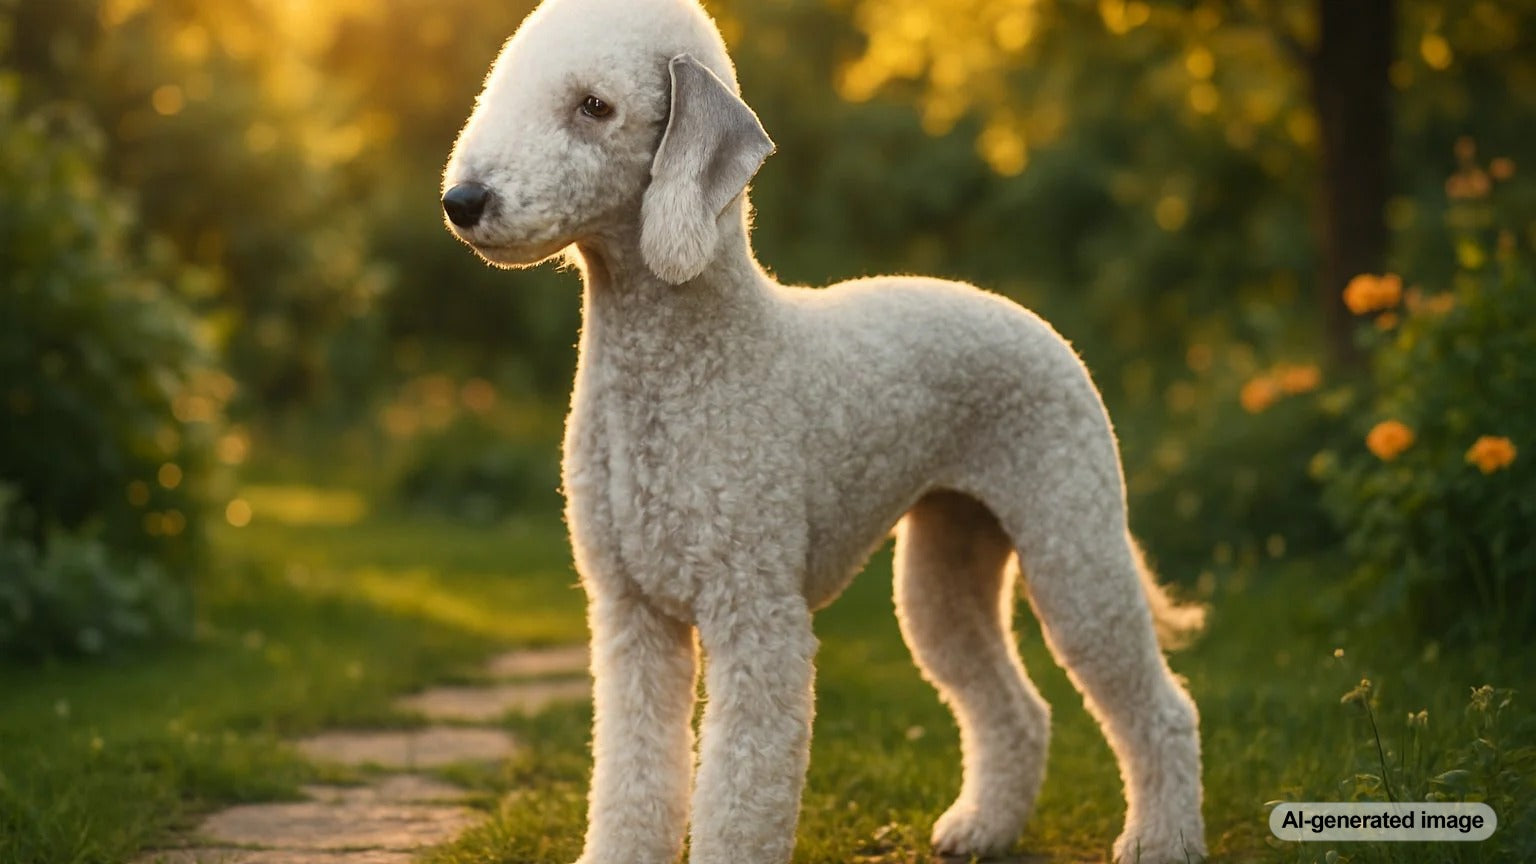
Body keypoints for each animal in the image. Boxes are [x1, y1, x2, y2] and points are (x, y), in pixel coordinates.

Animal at [441, 0, 1207, 861]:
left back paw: (1162, 839)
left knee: (1160, 705)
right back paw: (979, 828)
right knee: (1013, 704)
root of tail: (1037, 325)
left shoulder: (755, 612)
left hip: (1072, 536)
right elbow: (633, 777)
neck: (689, 365)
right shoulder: (632, 614)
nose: (464, 199)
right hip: (948, 560)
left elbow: (741, 795)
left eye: (594, 106)